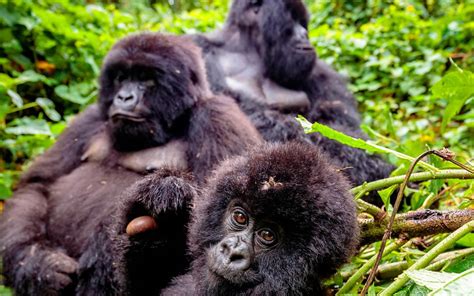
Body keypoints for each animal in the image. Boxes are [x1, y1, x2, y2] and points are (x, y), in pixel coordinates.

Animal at [0, 33, 262, 296]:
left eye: (145, 79)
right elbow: (37, 184)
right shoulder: (90, 118)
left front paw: (157, 236)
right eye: (121, 78)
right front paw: (38, 265)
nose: (123, 97)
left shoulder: (219, 117)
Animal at [193, 0, 396, 201]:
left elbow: (341, 125)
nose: (304, 34)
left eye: (302, 22)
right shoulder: (200, 47)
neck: (249, 49)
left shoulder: (320, 70)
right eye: (292, 18)